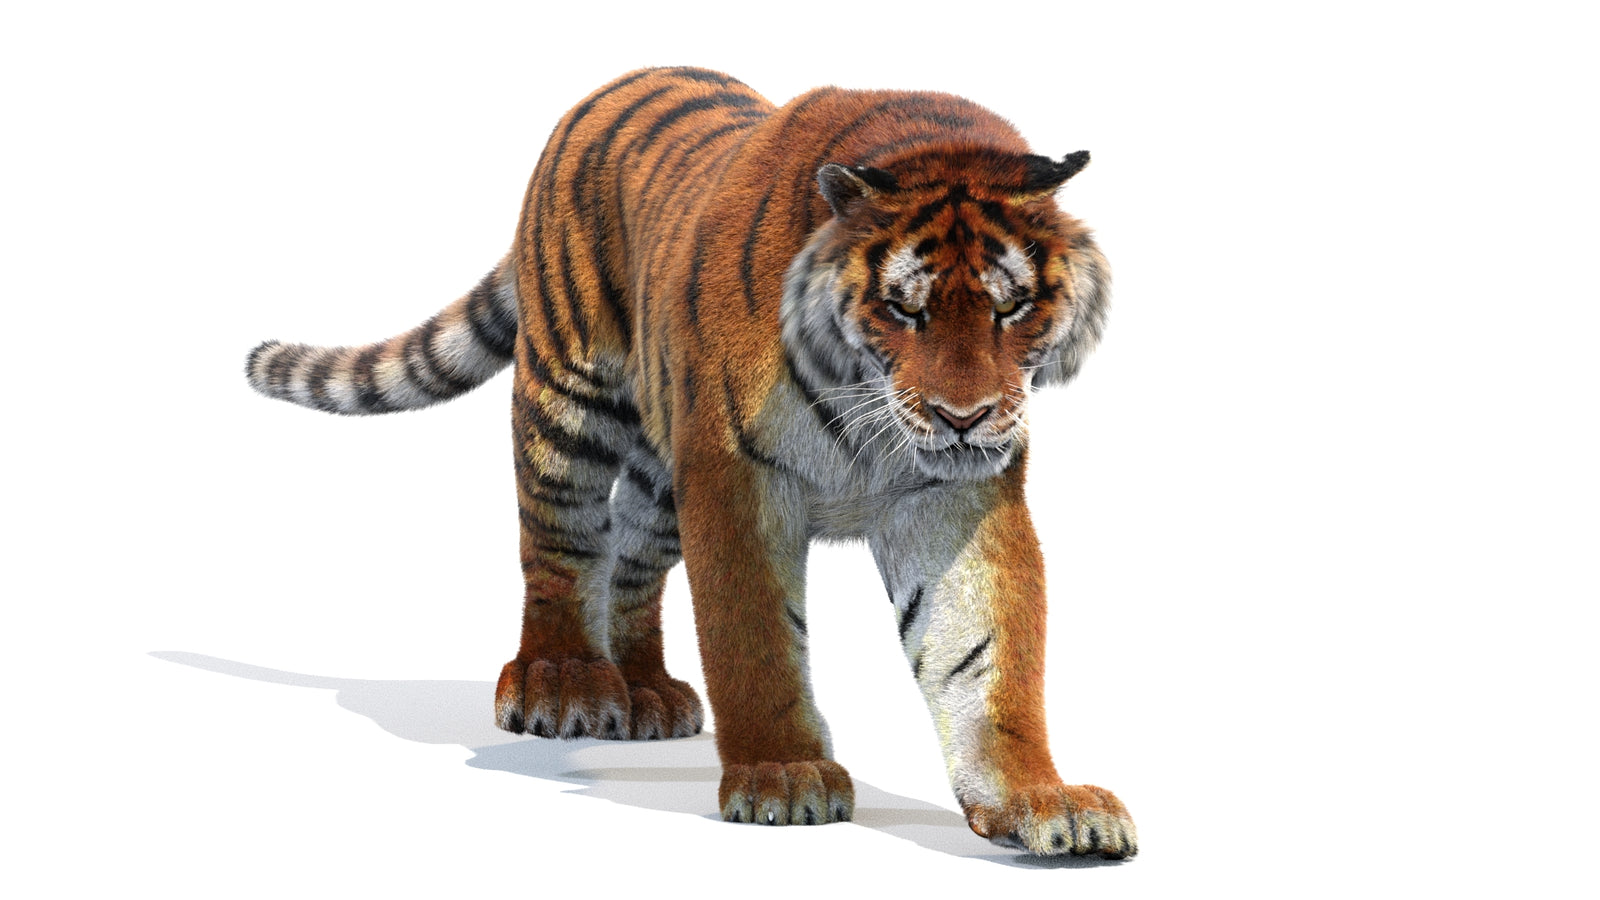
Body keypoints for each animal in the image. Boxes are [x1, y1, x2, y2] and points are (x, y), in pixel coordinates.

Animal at [246, 66, 1135, 859]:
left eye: (1012, 306)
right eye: (901, 308)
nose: (964, 416)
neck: (873, 409)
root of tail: (622, 81)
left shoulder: (953, 497)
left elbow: (985, 658)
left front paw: (1039, 800)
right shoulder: (736, 477)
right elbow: (754, 636)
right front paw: (783, 774)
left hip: (662, 475)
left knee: (631, 564)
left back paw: (643, 691)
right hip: (569, 397)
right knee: (562, 545)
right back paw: (561, 682)